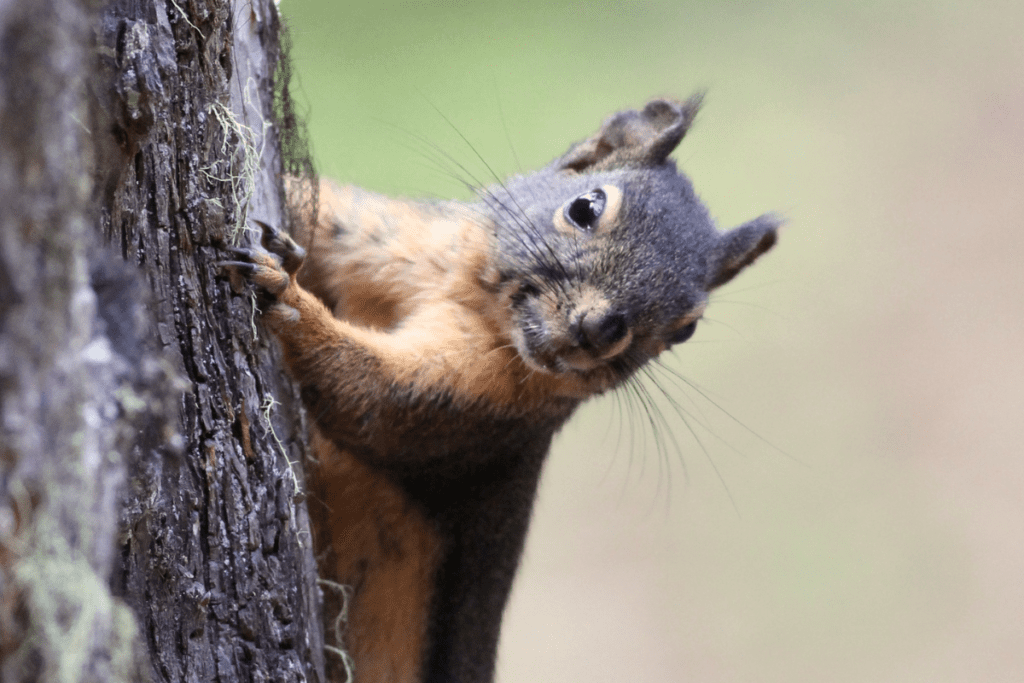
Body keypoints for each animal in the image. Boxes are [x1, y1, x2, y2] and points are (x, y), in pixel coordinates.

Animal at [224, 94, 778, 683]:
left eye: (685, 330)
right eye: (586, 207)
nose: (599, 330)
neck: (471, 295)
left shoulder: (474, 406)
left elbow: (374, 398)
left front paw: (287, 297)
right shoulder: (390, 236)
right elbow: (326, 209)